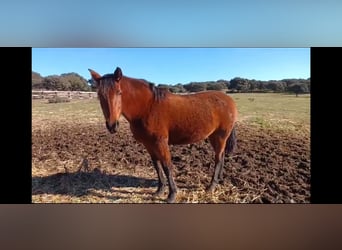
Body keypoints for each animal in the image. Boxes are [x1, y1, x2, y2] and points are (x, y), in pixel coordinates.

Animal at [88, 67, 238, 203]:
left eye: (119, 92)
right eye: (99, 96)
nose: (112, 125)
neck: (147, 108)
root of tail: (229, 99)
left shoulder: (161, 142)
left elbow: (166, 166)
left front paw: (172, 194)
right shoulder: (149, 144)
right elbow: (157, 166)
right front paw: (159, 190)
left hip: (220, 136)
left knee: (218, 158)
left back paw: (211, 186)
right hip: (213, 136)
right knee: (221, 156)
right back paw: (219, 179)